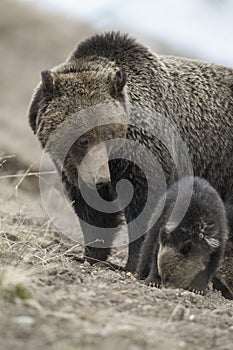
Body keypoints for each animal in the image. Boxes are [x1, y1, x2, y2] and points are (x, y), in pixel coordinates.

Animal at [28, 31, 233, 272]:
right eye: (84, 139)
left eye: (109, 135)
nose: (101, 179)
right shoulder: (76, 167)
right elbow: (94, 211)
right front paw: (90, 254)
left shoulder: (146, 158)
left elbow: (146, 209)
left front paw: (133, 265)